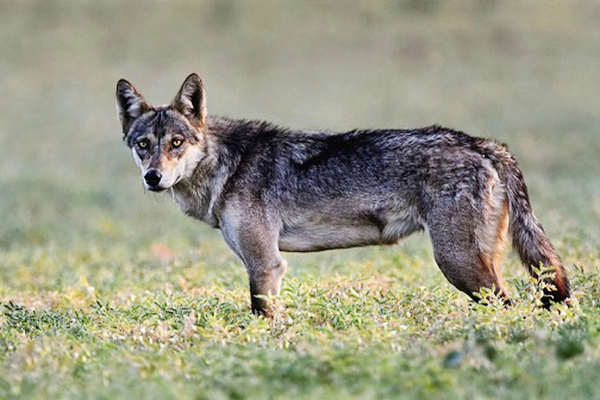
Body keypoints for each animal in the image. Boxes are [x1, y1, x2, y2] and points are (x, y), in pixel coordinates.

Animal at [115, 73, 568, 318]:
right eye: (143, 145)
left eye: (176, 143)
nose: (154, 177)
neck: (229, 165)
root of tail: (482, 144)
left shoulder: (265, 265)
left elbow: (263, 320)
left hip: (459, 266)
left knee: (511, 308)